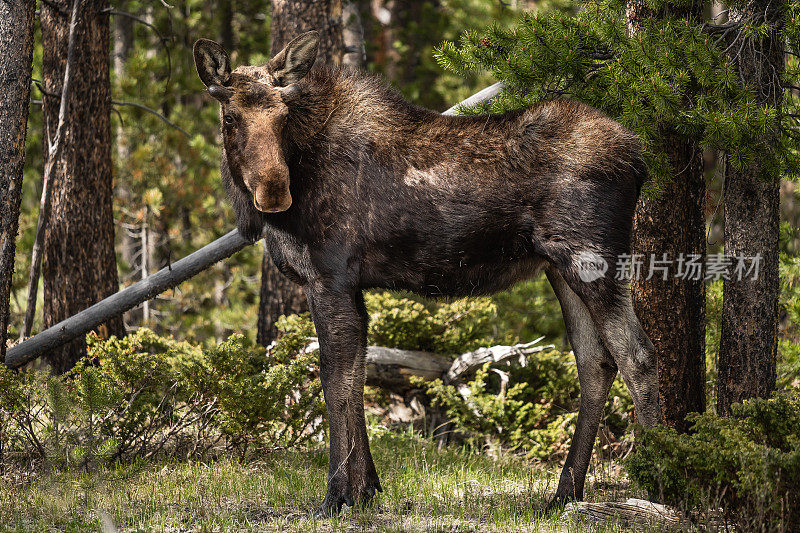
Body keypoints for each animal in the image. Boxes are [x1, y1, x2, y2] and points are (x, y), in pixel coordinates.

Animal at [194, 30, 664, 516]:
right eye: (230, 117)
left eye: (282, 115)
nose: (273, 191)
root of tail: (639, 159)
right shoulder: (351, 286)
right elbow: (358, 377)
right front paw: (366, 489)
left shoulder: (329, 277)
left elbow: (334, 380)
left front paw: (336, 495)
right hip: (561, 267)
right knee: (595, 362)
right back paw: (564, 494)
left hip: (592, 257)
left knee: (638, 356)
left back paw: (660, 486)